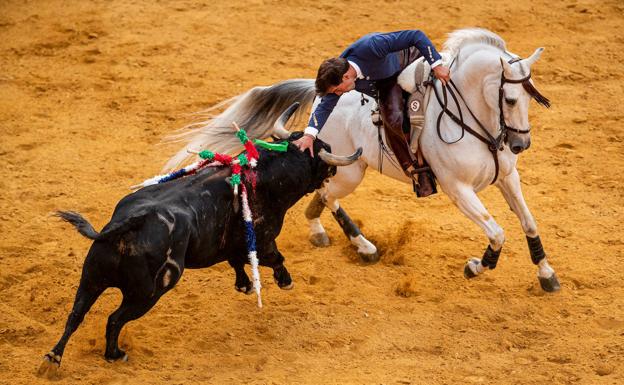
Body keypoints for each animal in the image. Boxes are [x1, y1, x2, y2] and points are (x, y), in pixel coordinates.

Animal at [37, 129, 360, 372]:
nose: (333, 166)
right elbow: (274, 258)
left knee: (75, 315)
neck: (266, 175)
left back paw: (53, 359)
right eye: (322, 152)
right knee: (114, 319)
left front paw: (244, 284)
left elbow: (236, 261)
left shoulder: (231, 246)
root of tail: (132, 223)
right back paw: (114, 355)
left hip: (91, 278)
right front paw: (285, 281)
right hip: (146, 294)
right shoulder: (264, 239)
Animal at [165, 27, 560, 292]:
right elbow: (497, 231)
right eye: (510, 99)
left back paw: (326, 232)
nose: (520, 143)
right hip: (350, 170)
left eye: (532, 97)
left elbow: (528, 222)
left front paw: (546, 273)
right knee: (327, 193)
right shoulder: (457, 188)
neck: (473, 118)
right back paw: (361, 244)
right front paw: (478, 265)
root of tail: (318, 95)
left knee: (322, 195)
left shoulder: (508, 177)